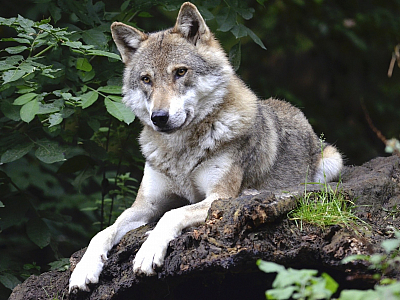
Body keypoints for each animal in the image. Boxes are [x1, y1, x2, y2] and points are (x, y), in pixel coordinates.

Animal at [68, 1, 340, 292]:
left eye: (180, 72)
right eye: (146, 79)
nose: (159, 117)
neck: (180, 152)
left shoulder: (217, 197)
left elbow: (171, 214)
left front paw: (148, 251)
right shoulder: (144, 206)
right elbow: (102, 232)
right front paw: (84, 269)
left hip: (332, 161)